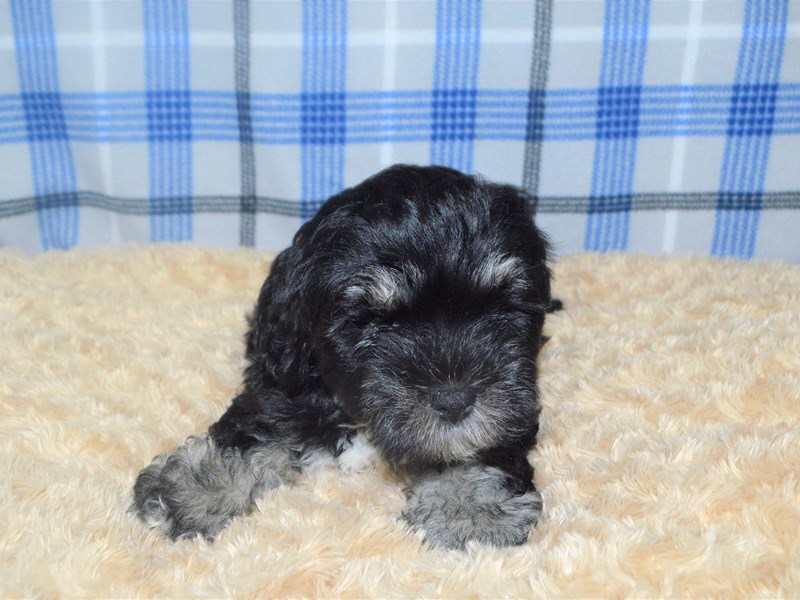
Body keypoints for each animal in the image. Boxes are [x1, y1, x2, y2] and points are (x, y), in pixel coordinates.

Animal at [133, 164, 556, 548]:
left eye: (500, 311)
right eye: (373, 324)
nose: (455, 400)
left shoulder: (515, 400)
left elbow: (485, 443)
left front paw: (471, 509)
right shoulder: (284, 382)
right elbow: (255, 426)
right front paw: (195, 488)